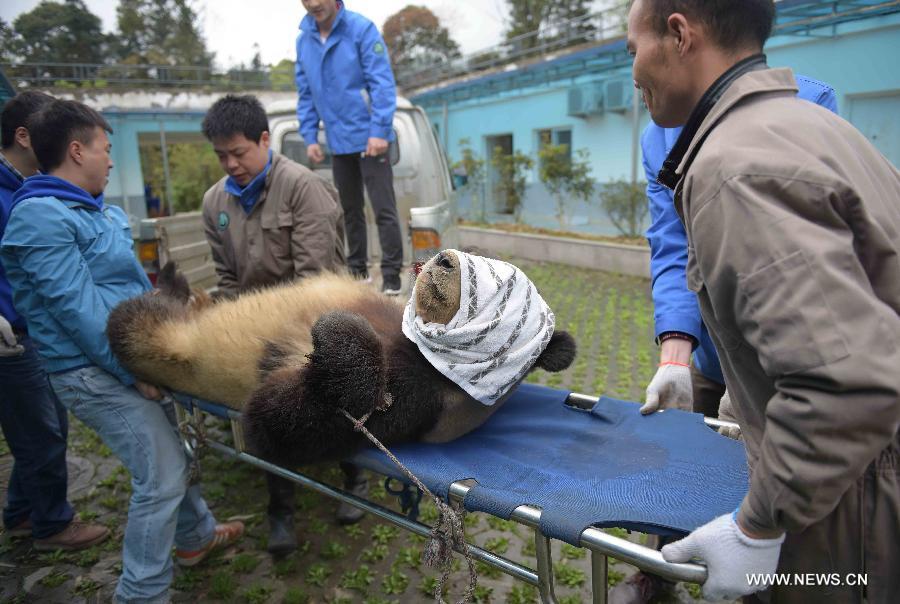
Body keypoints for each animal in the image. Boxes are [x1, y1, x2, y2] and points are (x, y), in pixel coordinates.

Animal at [109, 250, 576, 468]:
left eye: (490, 281)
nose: (444, 259)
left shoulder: (420, 402)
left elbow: (277, 425)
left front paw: (339, 337)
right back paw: (180, 283)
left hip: (173, 347)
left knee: (134, 323)